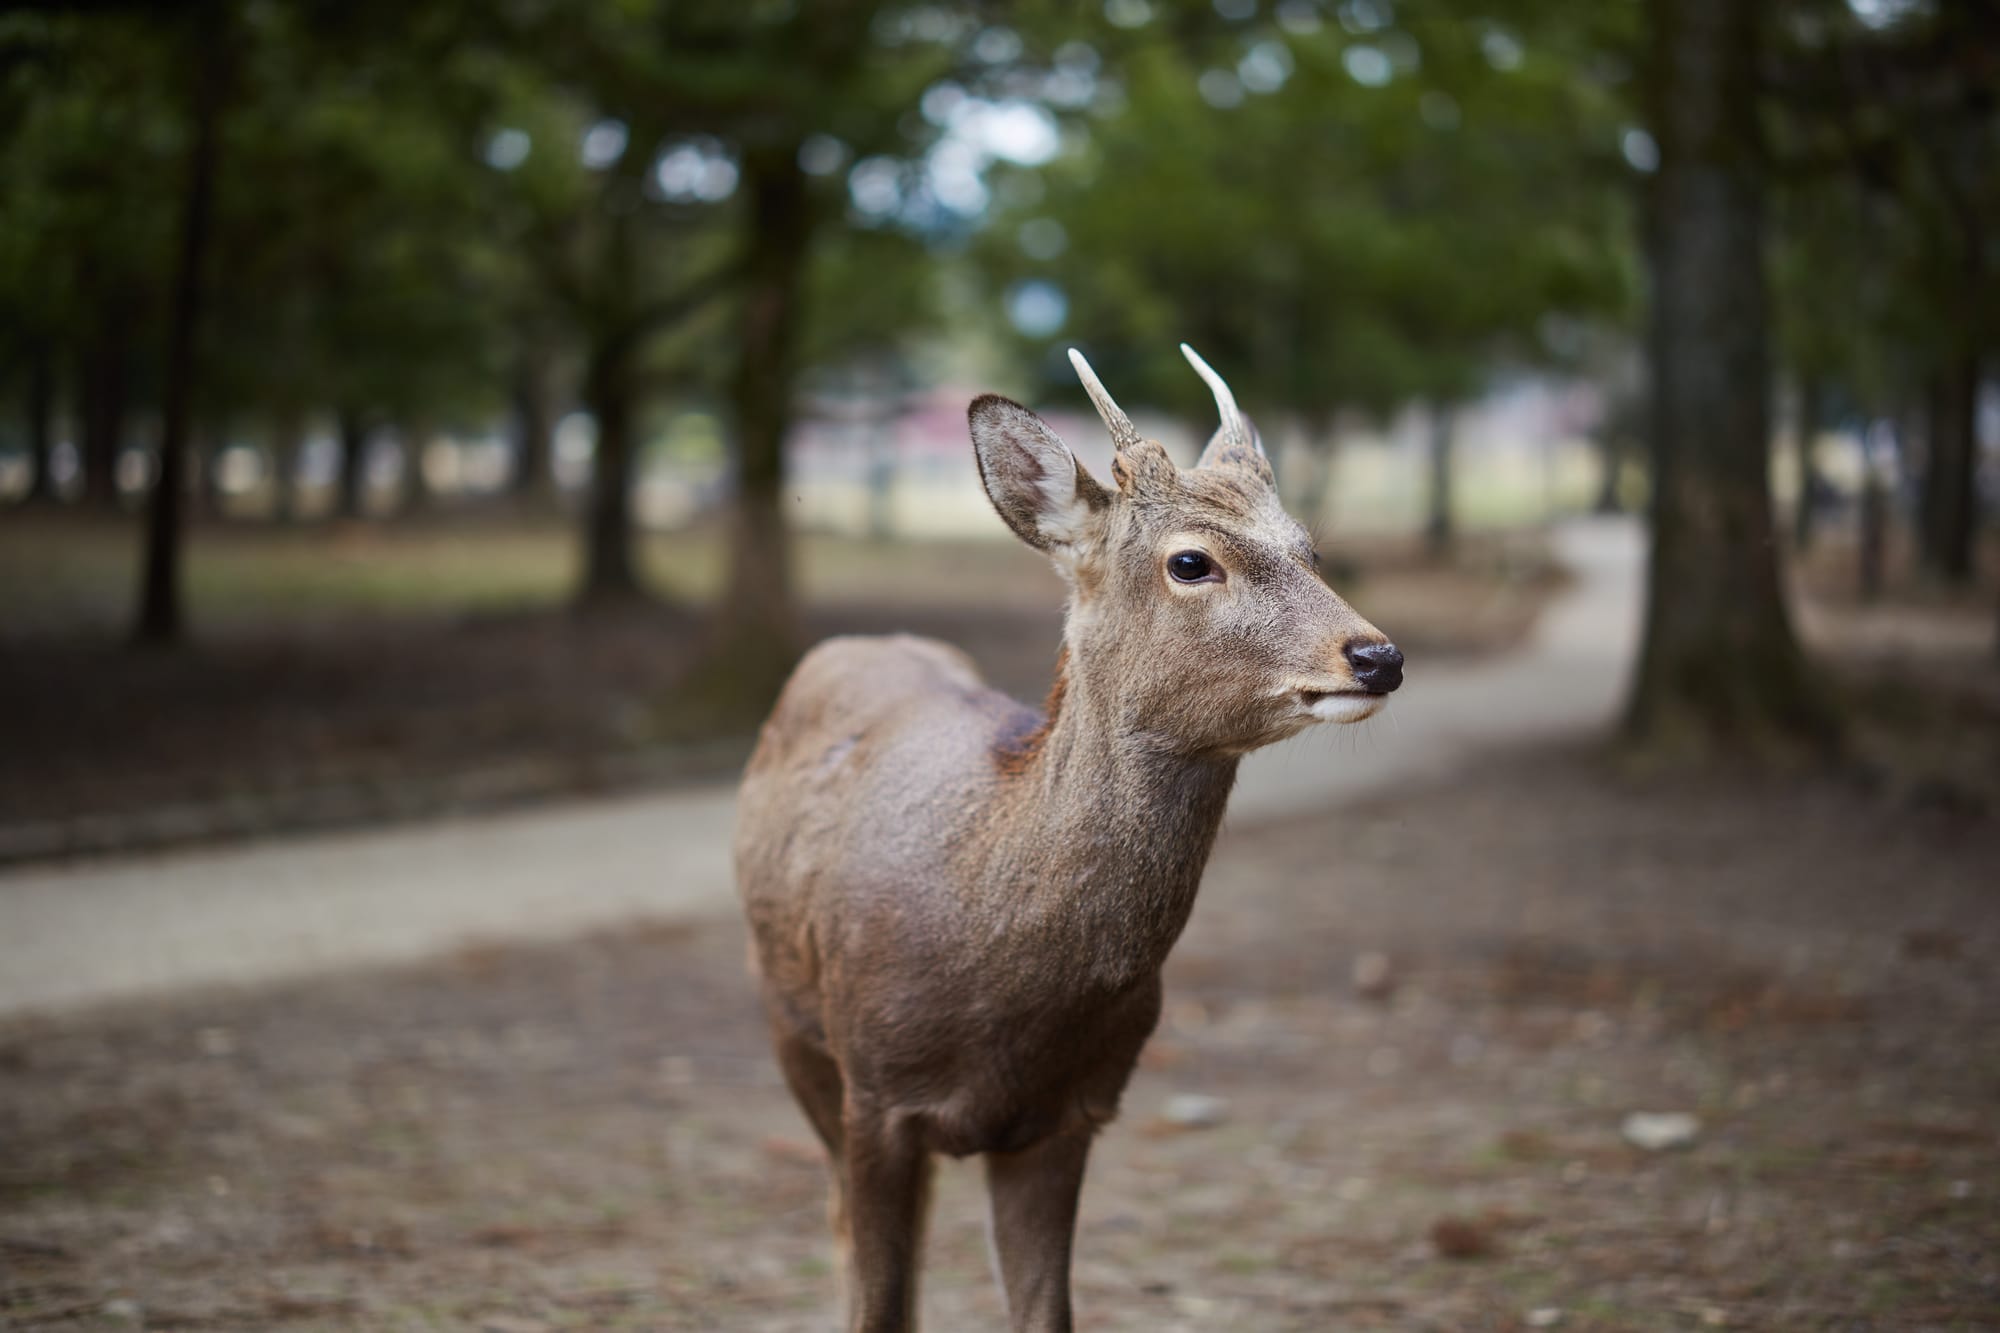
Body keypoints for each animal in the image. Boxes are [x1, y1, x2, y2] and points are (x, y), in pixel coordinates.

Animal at [736, 344, 1408, 1328]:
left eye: (1310, 549)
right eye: (1192, 561)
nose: (1377, 656)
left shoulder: (1076, 1110)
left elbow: (1046, 1311)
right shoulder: (875, 1092)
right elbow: (880, 1300)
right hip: (790, 1024)